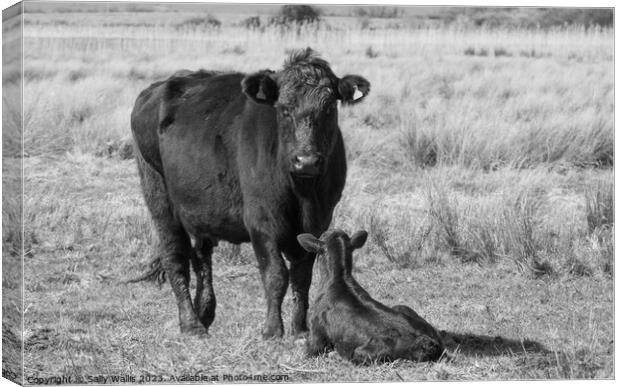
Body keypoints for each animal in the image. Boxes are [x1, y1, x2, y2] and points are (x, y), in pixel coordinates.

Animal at [130, 49, 370, 340]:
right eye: (284, 109)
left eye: (329, 108)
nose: (307, 161)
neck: (302, 192)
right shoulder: (261, 221)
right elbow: (276, 274)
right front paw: (272, 329)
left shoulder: (318, 221)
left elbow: (302, 275)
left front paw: (299, 328)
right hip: (159, 197)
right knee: (175, 258)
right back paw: (191, 324)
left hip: (199, 209)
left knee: (202, 258)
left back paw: (205, 312)